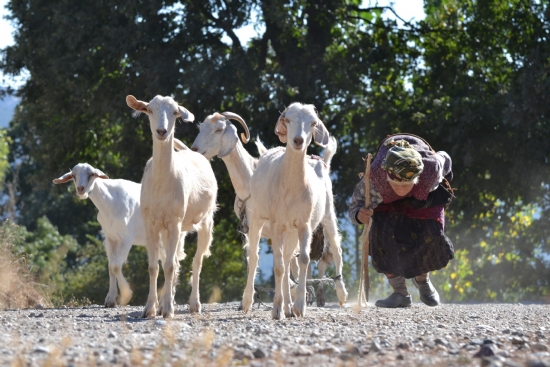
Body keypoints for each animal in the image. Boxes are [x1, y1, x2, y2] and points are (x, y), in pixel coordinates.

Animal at [54, 162, 188, 310]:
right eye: (73, 175)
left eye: (92, 174)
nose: (80, 189)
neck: (110, 202)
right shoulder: (110, 238)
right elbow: (110, 267)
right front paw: (110, 299)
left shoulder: (126, 238)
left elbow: (116, 266)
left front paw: (126, 294)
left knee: (173, 263)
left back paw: (165, 301)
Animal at [127, 95, 218, 320]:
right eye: (149, 110)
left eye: (175, 112)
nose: (162, 131)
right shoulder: (151, 222)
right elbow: (154, 266)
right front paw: (150, 309)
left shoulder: (174, 221)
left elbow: (169, 266)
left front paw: (168, 310)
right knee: (175, 259)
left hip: (204, 220)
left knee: (196, 261)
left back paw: (194, 304)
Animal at [190, 113, 336, 308]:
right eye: (201, 127)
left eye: (219, 129)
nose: (195, 149)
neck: (250, 181)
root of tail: (321, 163)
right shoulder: (250, 228)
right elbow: (253, 258)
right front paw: (247, 300)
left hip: (327, 217)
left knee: (332, 250)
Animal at [243, 103, 348, 320]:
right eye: (288, 119)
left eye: (313, 123)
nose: (298, 140)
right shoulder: (276, 224)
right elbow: (278, 266)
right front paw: (276, 309)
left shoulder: (303, 224)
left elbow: (303, 260)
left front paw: (299, 306)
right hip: (257, 217)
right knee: (255, 257)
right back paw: (248, 302)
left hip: (326, 215)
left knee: (334, 249)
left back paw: (338, 295)